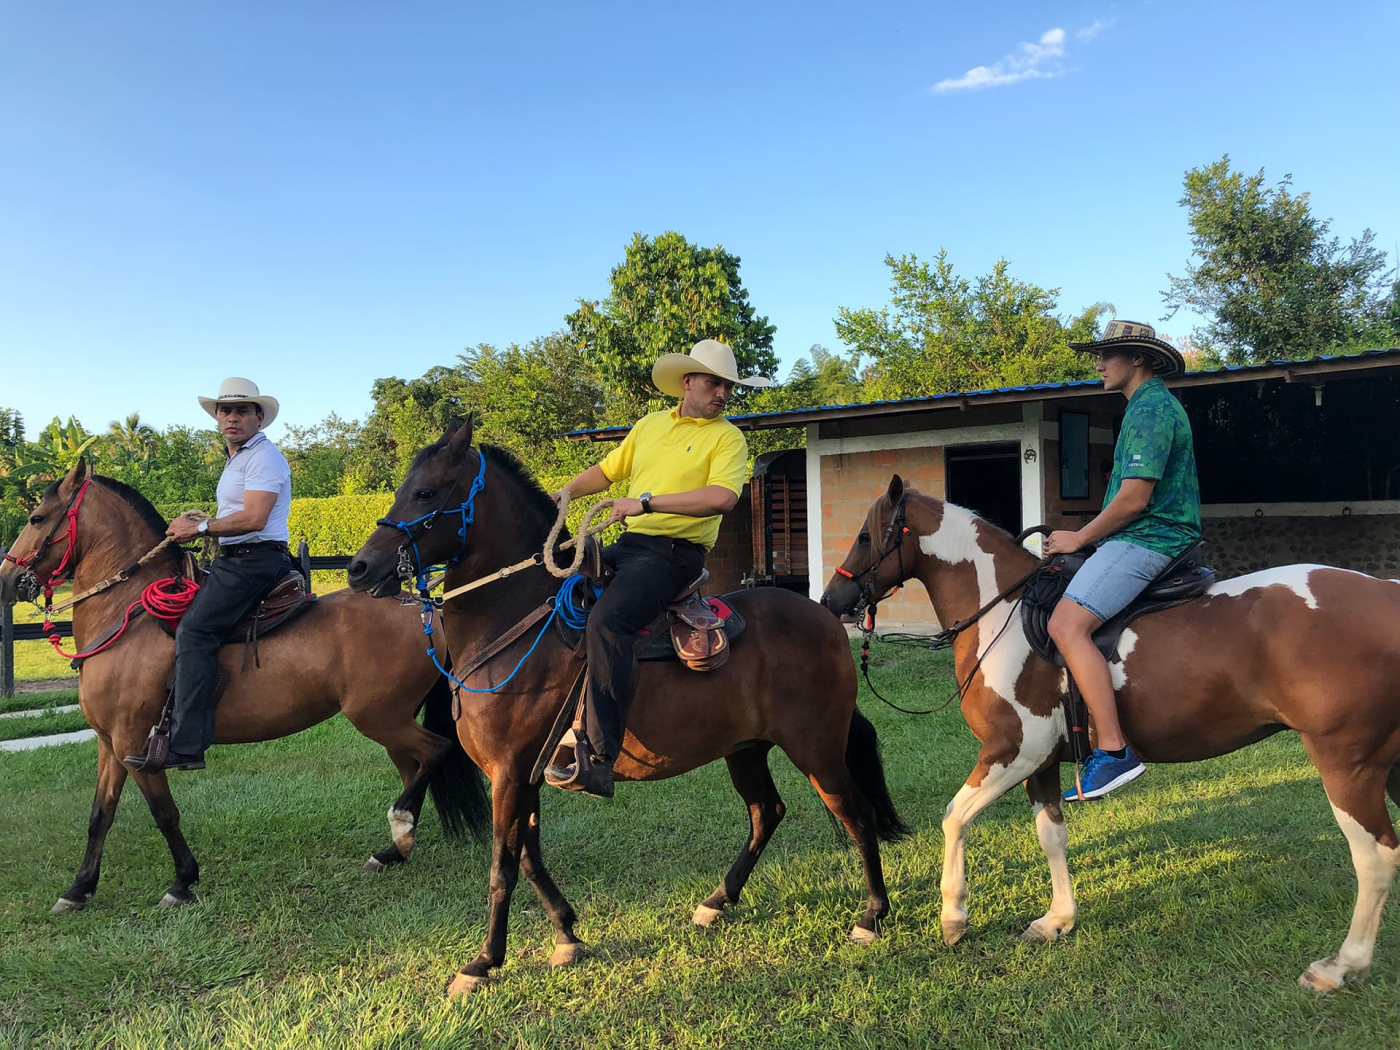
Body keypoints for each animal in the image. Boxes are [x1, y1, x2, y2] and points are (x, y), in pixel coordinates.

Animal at [0, 459, 492, 912]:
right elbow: (99, 815)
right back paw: (394, 849)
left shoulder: (135, 746)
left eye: (37, 518)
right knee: (415, 770)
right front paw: (78, 889)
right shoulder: (110, 745)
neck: (127, 615)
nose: (6, 580)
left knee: (435, 753)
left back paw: (400, 834)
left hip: (380, 719)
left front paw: (182, 882)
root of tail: (426, 611)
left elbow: (164, 814)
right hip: (390, 723)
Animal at [344, 420, 901, 996]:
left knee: (857, 815)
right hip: (746, 748)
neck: (514, 624)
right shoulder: (526, 775)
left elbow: (502, 867)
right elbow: (529, 857)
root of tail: (825, 620)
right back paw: (717, 901)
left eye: (426, 493)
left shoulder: (509, 772)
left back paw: (870, 916)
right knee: (765, 813)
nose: (359, 568)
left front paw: (482, 962)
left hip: (816, 749)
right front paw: (566, 934)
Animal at [817, 478, 1400, 996]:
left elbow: (954, 817)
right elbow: (1051, 835)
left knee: (1375, 858)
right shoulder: (1041, 763)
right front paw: (1057, 920)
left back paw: (1340, 967)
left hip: (1345, 764)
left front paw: (953, 917)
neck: (1003, 610)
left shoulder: (1013, 751)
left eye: (867, 536)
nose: (831, 599)